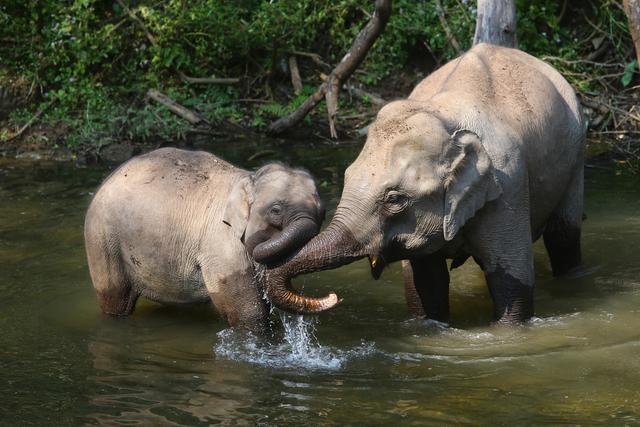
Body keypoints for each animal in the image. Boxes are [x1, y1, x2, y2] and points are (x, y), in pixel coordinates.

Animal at [262, 44, 588, 324]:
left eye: (394, 199)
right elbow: (426, 285)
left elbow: (512, 282)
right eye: (347, 176)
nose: (331, 297)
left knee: (563, 236)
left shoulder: (509, 184)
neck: (445, 118)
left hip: (576, 152)